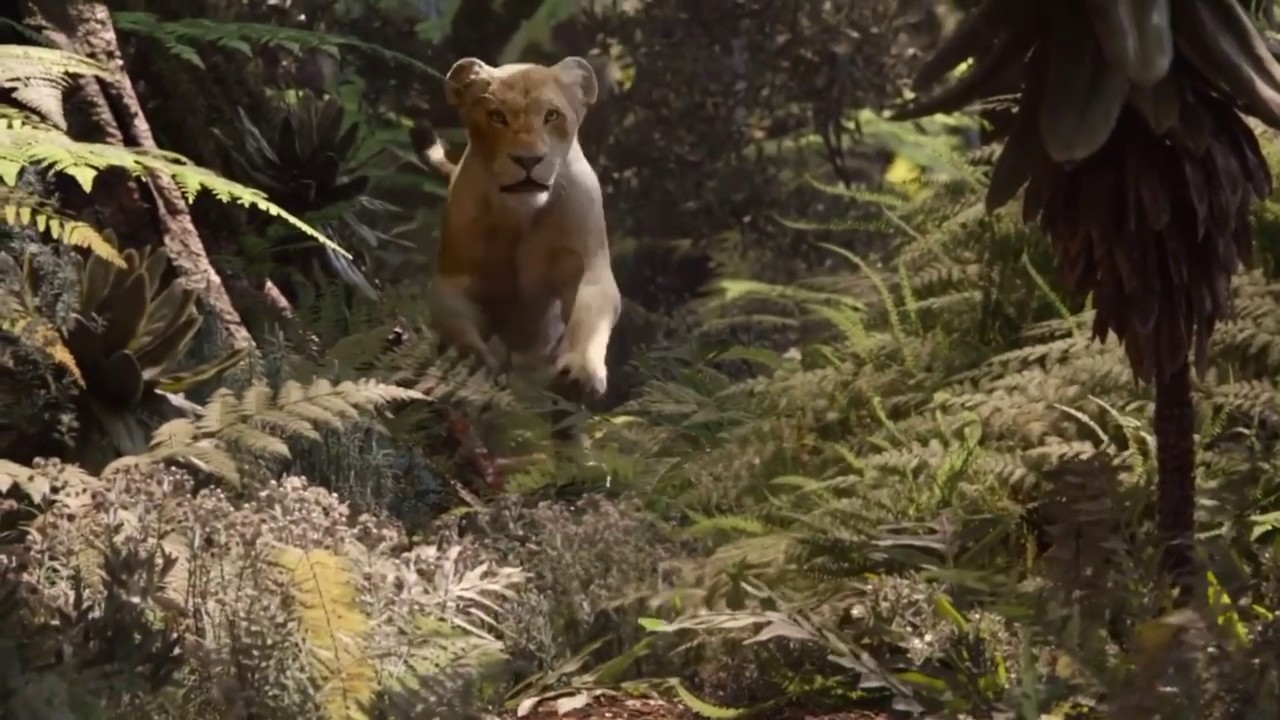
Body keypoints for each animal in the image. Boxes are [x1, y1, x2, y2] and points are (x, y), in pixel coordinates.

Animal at [418, 56, 622, 402]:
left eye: (551, 115)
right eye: (496, 116)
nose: (528, 160)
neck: (522, 218)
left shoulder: (588, 264)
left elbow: (590, 316)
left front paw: (581, 371)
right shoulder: (452, 279)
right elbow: (457, 323)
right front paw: (476, 364)